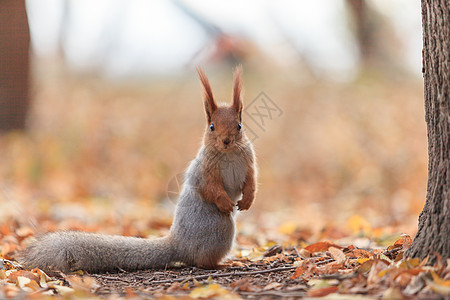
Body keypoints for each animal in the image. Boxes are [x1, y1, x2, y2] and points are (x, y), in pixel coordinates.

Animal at [20, 66, 256, 274]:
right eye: (212, 127)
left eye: (239, 126)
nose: (226, 141)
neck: (228, 154)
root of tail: (177, 245)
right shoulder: (204, 170)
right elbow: (210, 188)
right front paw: (225, 202)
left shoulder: (249, 162)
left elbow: (251, 182)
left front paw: (247, 201)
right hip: (220, 228)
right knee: (201, 261)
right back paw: (223, 264)